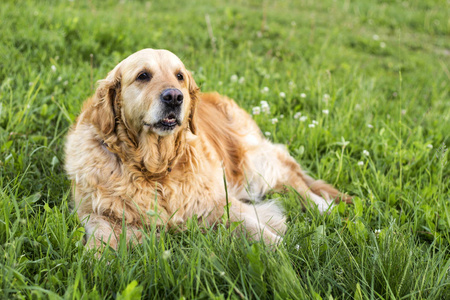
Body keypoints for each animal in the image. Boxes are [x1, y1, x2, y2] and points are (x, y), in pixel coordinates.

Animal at [64, 49, 352, 250]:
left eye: (179, 76)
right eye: (143, 75)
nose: (174, 97)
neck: (154, 168)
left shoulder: (218, 202)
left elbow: (255, 227)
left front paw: (286, 252)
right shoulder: (94, 211)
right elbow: (99, 239)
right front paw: (96, 259)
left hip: (254, 164)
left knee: (295, 181)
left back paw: (324, 208)